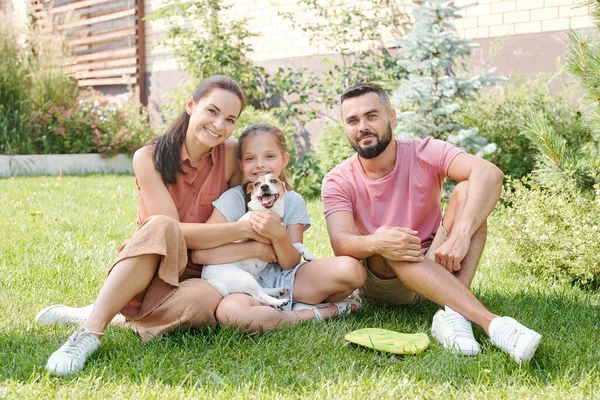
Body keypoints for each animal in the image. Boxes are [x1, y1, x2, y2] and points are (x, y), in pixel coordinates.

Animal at [202, 173, 314, 308]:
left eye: (273, 180)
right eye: (257, 183)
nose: (264, 186)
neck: (267, 213)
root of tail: (205, 277)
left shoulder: (279, 245)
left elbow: (297, 244)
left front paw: (307, 255)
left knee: (261, 290)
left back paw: (279, 291)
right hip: (245, 278)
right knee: (259, 296)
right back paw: (279, 302)